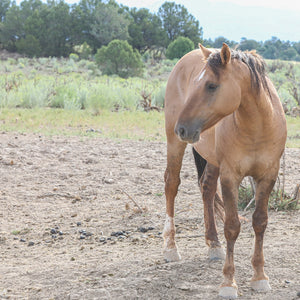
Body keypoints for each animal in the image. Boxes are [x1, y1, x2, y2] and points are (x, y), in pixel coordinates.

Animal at [163, 43, 288, 298]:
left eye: (211, 85)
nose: (182, 128)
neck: (257, 126)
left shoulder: (267, 176)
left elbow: (260, 222)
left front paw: (259, 277)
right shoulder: (231, 177)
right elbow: (232, 227)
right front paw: (229, 282)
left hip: (212, 160)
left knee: (207, 189)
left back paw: (214, 244)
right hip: (174, 145)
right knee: (171, 185)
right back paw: (171, 248)